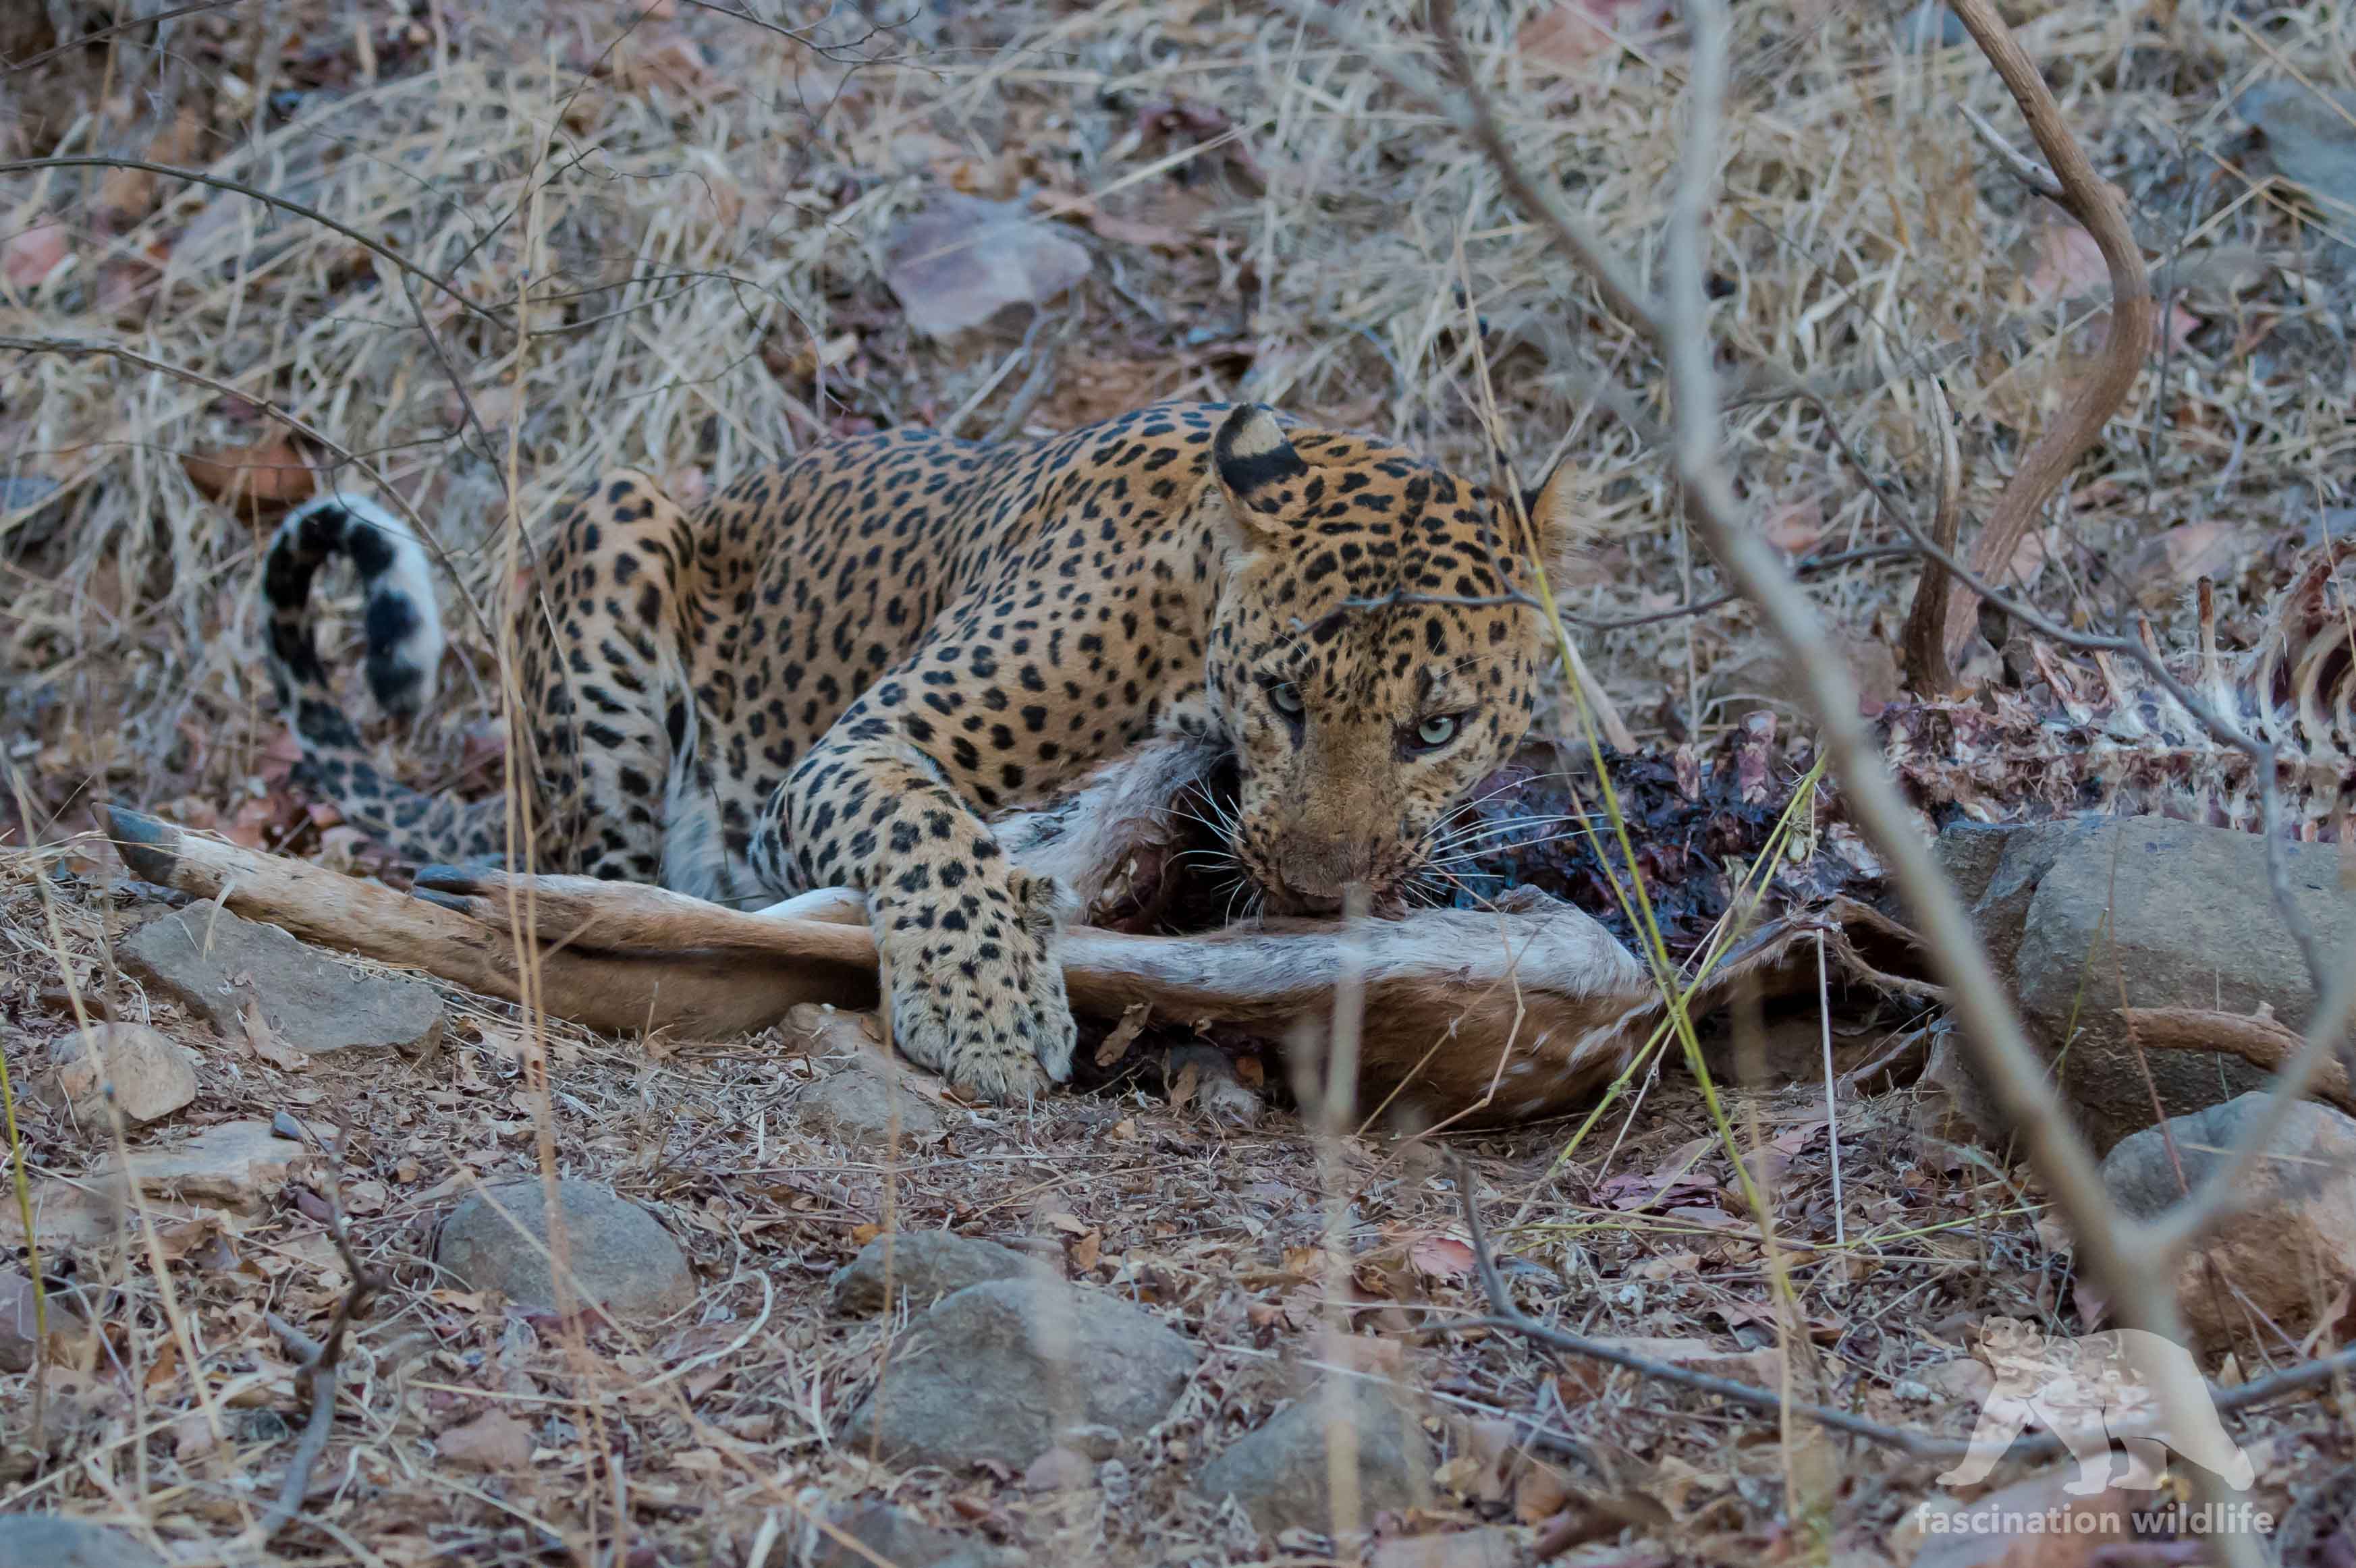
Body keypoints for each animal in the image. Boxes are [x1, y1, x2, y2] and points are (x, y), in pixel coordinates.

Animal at [259, 400, 1586, 1102]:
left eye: (1434, 729)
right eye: (1283, 697)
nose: (1318, 894)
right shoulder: (855, 749)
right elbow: (931, 834)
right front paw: (986, 1007)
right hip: (619, 522)